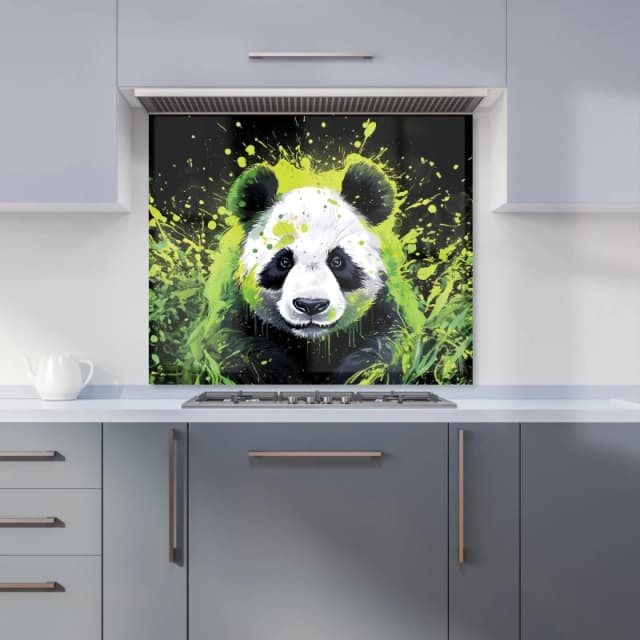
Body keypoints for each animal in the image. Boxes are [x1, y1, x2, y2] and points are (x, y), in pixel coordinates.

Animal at [189, 160, 412, 384]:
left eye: (337, 261)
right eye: (284, 261)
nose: (311, 305)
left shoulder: (382, 313)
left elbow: (380, 353)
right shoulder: (236, 316)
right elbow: (239, 353)